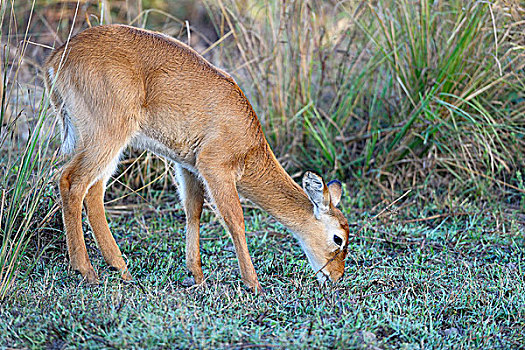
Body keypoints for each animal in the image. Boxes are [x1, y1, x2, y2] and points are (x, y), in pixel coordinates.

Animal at [45, 24, 348, 292]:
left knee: (93, 191)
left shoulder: (187, 166)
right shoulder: (215, 167)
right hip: (107, 136)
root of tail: (58, 57)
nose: (335, 278)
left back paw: (121, 268)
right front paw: (254, 284)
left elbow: (194, 210)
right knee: (71, 182)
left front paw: (197, 275)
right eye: (339, 239)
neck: (250, 145)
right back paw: (86, 270)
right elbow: (235, 219)